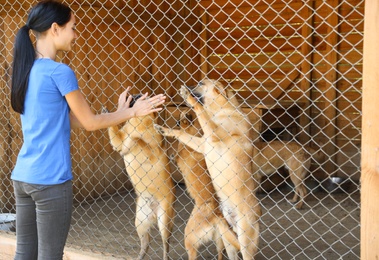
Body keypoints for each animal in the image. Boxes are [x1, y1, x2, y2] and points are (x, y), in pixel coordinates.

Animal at [103, 95, 176, 260]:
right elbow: (116, 129)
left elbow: (137, 140)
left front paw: (128, 146)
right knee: (146, 244)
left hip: (165, 222)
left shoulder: (151, 151)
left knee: (166, 245)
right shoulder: (118, 140)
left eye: (142, 98)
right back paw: (140, 256)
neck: (139, 121)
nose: (133, 96)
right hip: (140, 223)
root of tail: (153, 211)